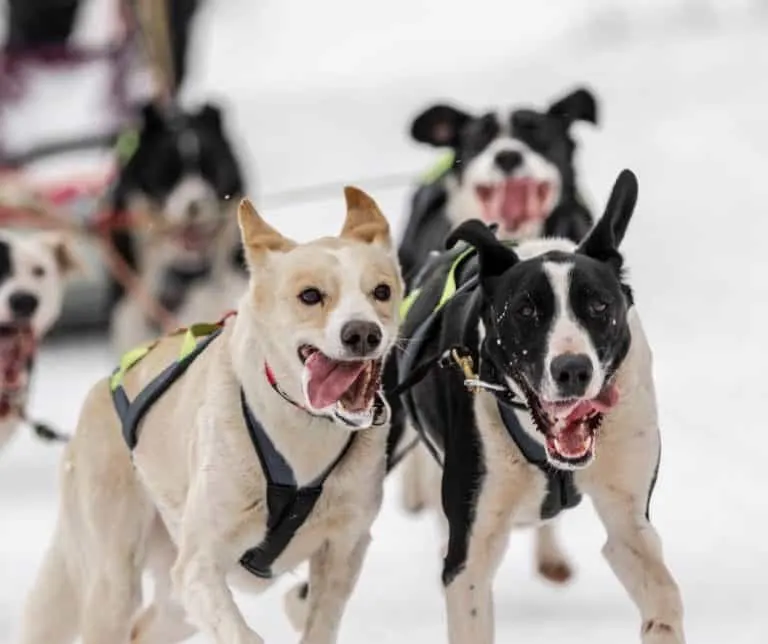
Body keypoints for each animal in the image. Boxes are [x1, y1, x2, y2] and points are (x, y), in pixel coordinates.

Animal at [16, 189, 402, 644]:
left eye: (381, 291)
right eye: (310, 295)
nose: (362, 333)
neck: (303, 436)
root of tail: (100, 390)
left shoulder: (343, 551)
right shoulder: (200, 565)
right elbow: (243, 634)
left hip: (174, 600)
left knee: (144, 629)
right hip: (115, 582)